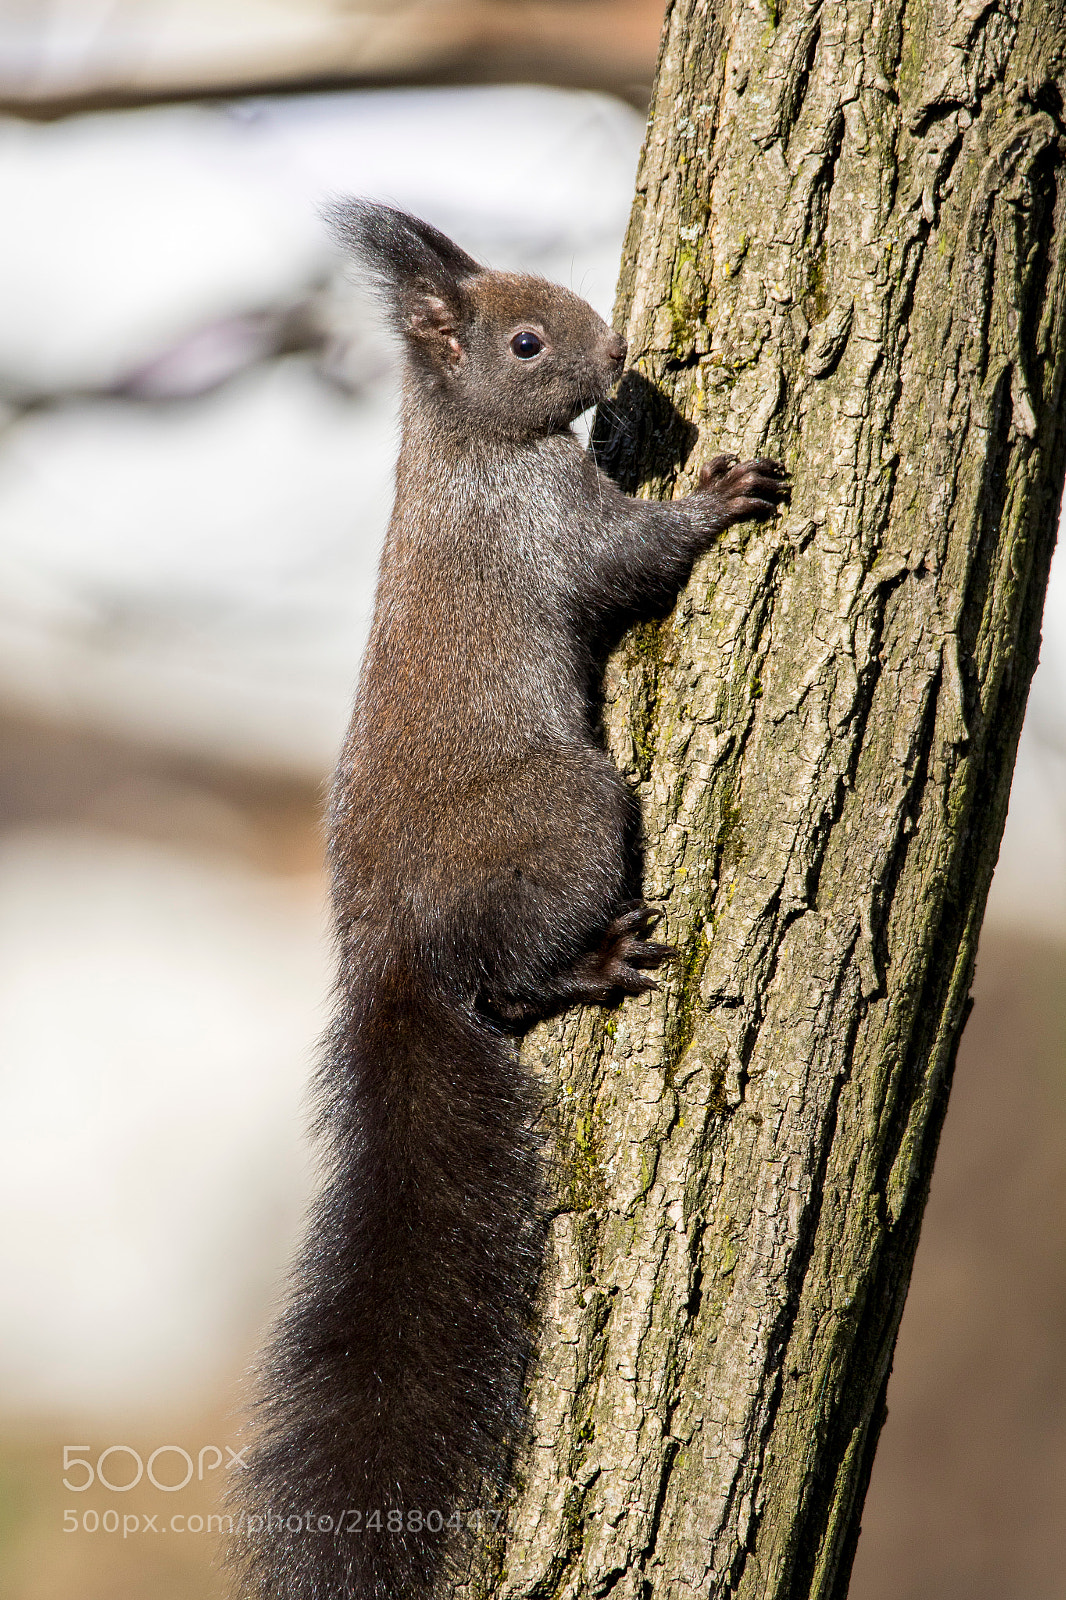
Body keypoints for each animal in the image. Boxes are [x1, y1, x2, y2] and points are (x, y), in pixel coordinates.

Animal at [231, 202, 787, 1600]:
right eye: (527, 342)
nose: (623, 350)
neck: (469, 448)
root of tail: (386, 953)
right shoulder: (549, 526)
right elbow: (631, 556)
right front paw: (720, 494)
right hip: (572, 813)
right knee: (508, 983)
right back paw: (587, 967)